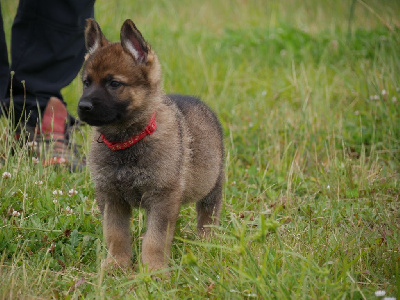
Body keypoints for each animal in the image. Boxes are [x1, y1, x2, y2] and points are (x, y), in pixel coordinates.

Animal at [76, 19, 223, 272]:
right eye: (86, 83)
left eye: (114, 83)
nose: (83, 106)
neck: (127, 141)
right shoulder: (112, 198)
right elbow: (115, 234)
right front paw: (117, 264)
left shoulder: (162, 196)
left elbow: (155, 238)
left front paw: (154, 270)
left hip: (212, 186)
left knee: (207, 217)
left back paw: (207, 243)